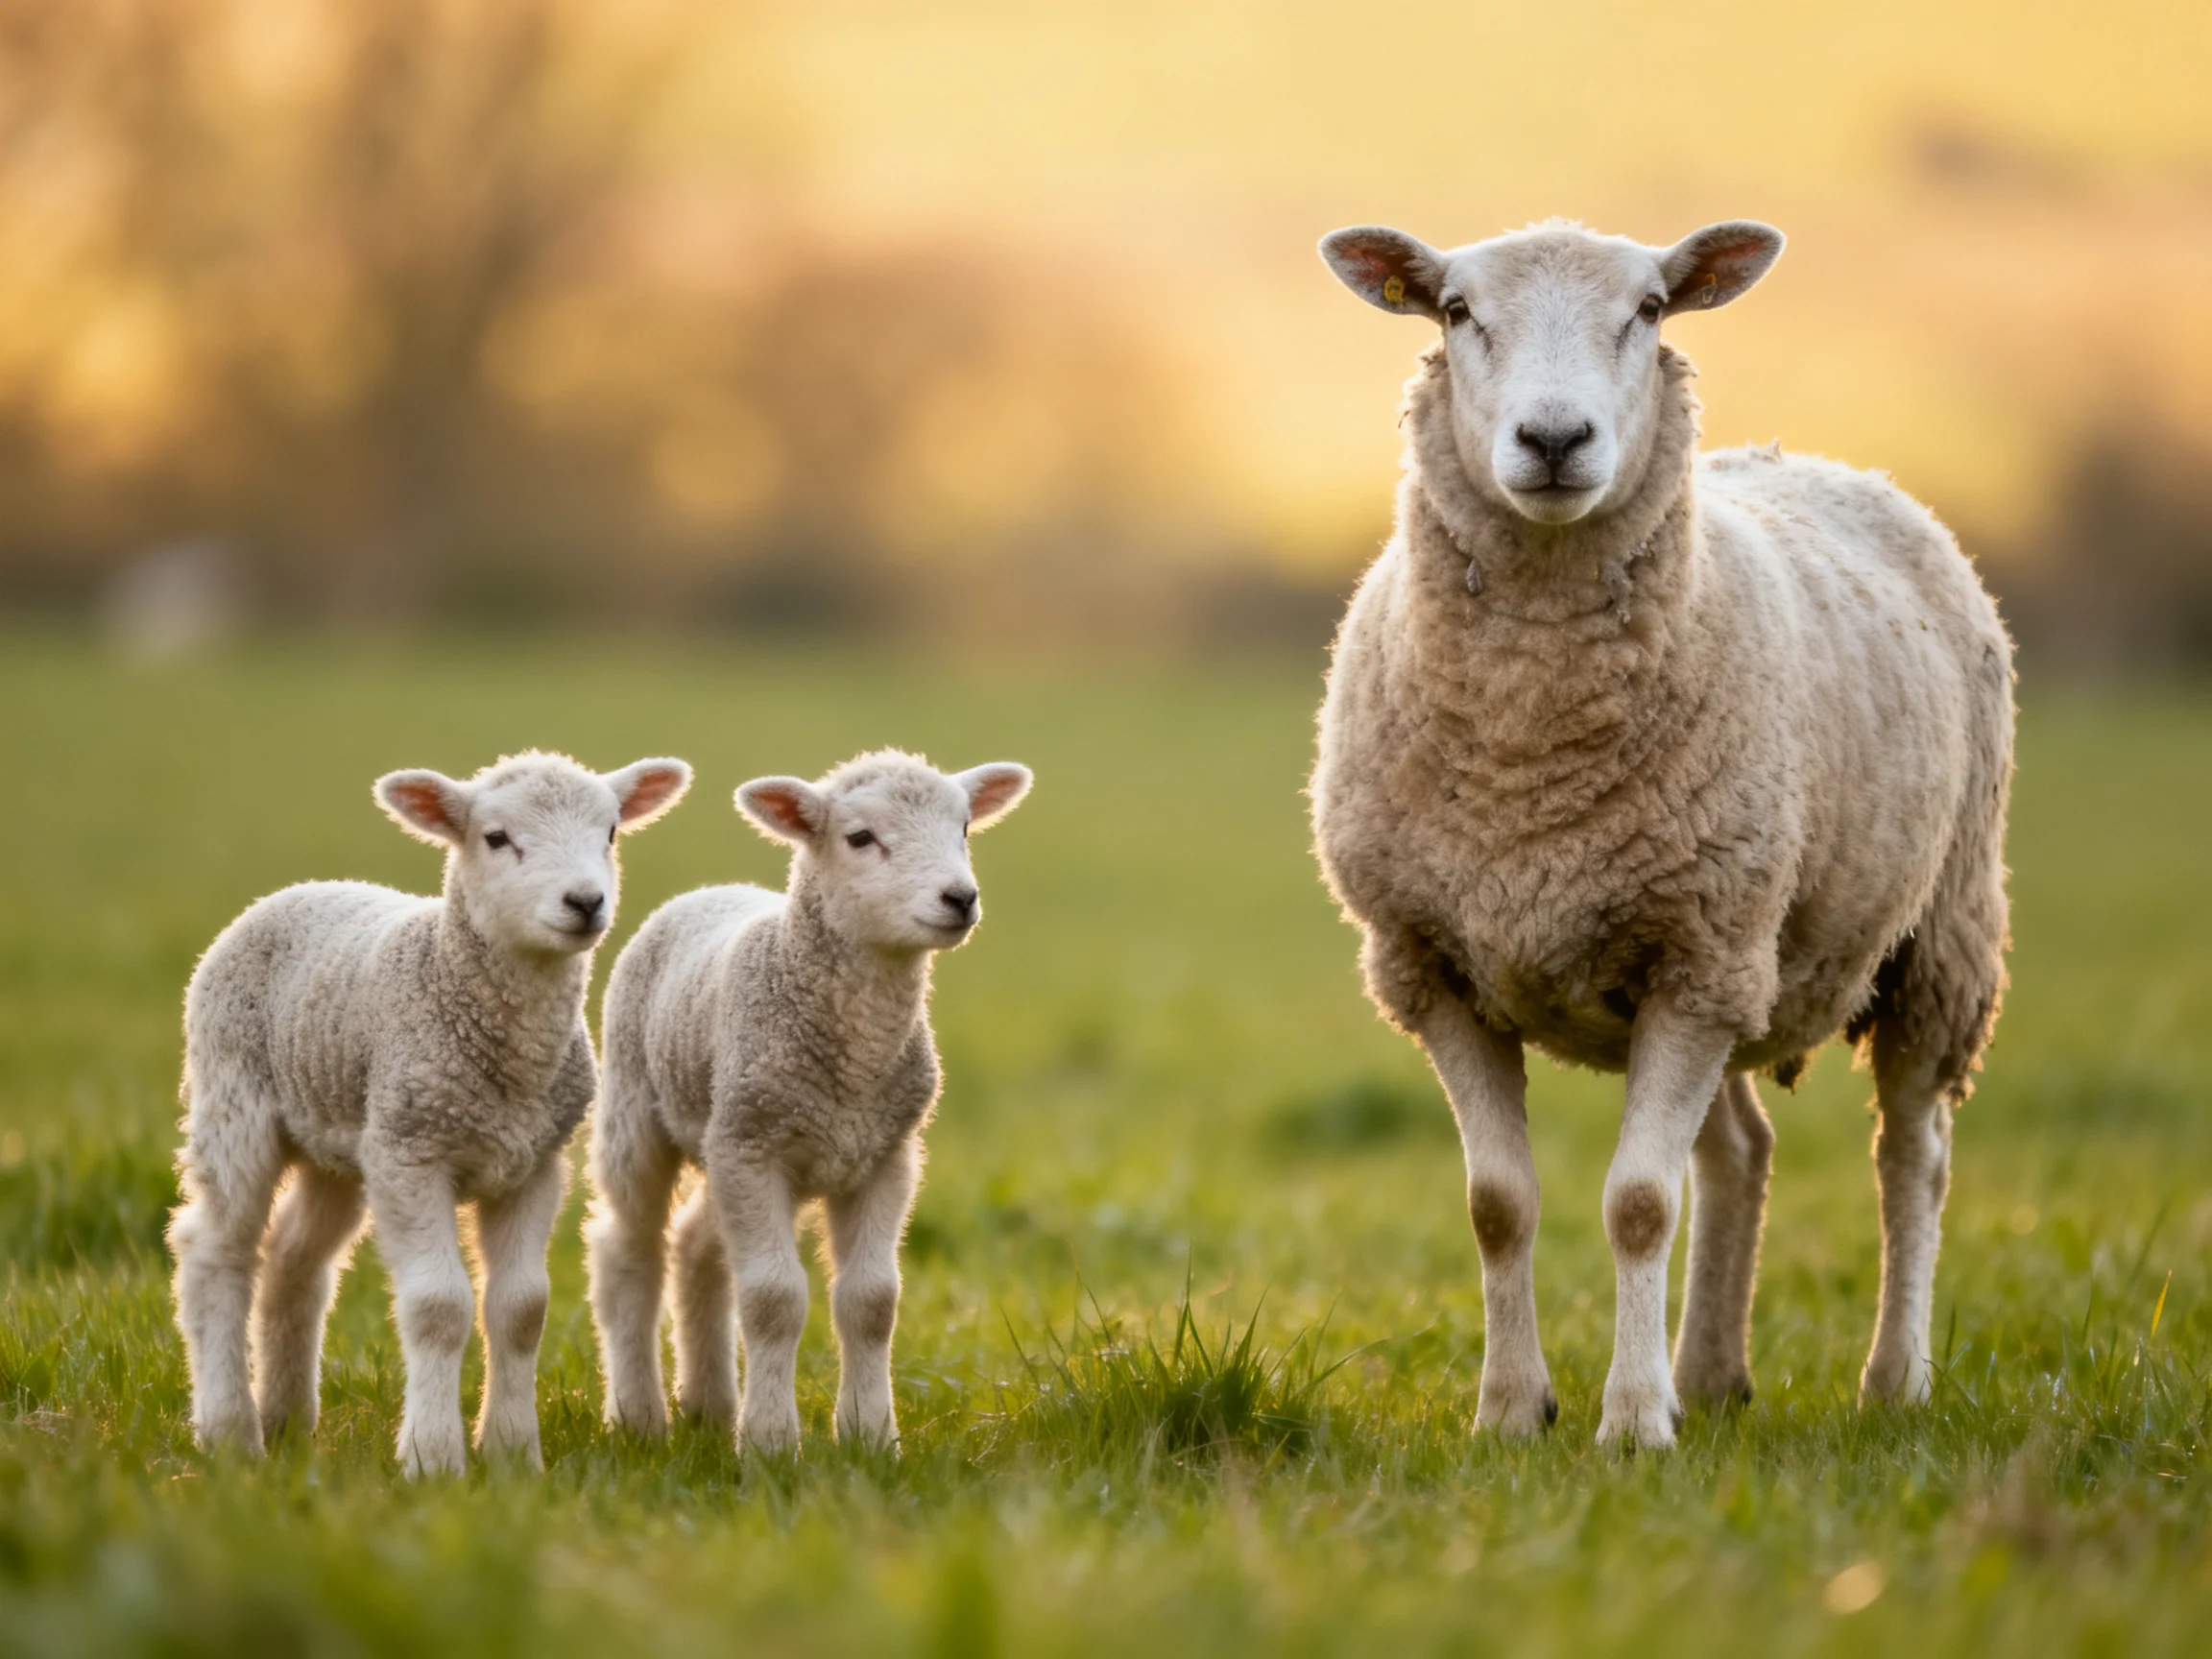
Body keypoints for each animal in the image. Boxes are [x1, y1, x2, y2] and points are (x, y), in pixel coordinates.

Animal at [167, 750, 693, 1474]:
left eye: (611, 832)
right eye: (496, 838)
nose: (586, 902)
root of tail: (293, 891)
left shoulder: (534, 1163)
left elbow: (522, 1308)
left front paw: (512, 1454)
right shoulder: (412, 1154)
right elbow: (439, 1306)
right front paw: (433, 1459)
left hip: (341, 1140)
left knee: (294, 1260)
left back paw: (287, 1420)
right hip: (234, 1098)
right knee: (215, 1252)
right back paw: (229, 1432)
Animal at [586, 750, 1031, 1456]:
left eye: (964, 827)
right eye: (860, 837)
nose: (960, 898)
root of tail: (712, 890)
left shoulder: (885, 1154)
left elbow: (872, 1302)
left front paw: (872, 1437)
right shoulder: (755, 1150)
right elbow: (774, 1299)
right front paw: (771, 1443)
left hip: (732, 1138)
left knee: (697, 1245)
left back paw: (708, 1406)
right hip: (641, 1109)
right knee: (627, 1251)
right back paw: (638, 1418)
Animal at [1310, 217, 2013, 1447]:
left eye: (1647, 309)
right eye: (1456, 310)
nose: (1554, 438)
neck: (1528, 763)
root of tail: (1814, 459)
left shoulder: (1693, 959)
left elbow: (1640, 1203)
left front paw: (1632, 1426)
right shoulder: (1437, 963)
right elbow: (1498, 1204)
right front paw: (1511, 1412)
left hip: (1927, 937)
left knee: (1911, 1156)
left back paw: (1893, 1380)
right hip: (1737, 952)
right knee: (1741, 1153)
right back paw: (1714, 1375)